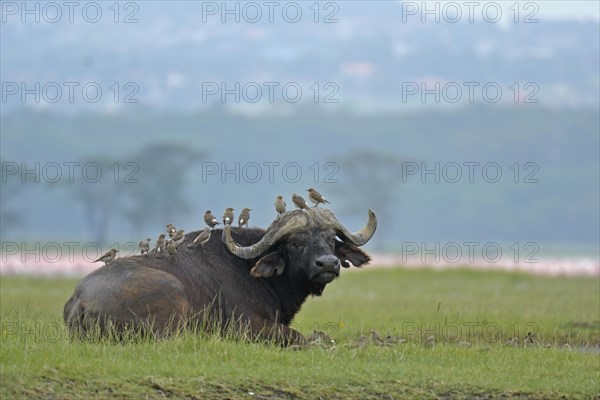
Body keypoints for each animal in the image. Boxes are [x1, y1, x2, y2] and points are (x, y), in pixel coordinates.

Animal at [64, 206, 376, 344]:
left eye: (330, 239)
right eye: (297, 243)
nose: (328, 264)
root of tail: (80, 301)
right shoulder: (248, 327)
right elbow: (301, 337)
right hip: (173, 298)